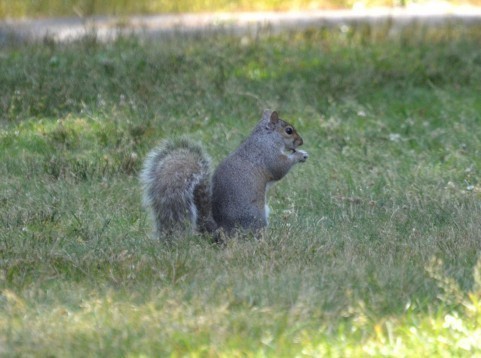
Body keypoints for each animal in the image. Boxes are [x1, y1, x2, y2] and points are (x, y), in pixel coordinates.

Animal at [139, 109, 308, 238]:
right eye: (288, 130)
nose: (301, 142)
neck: (266, 138)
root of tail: (221, 230)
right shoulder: (268, 156)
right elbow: (280, 169)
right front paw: (300, 155)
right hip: (256, 217)